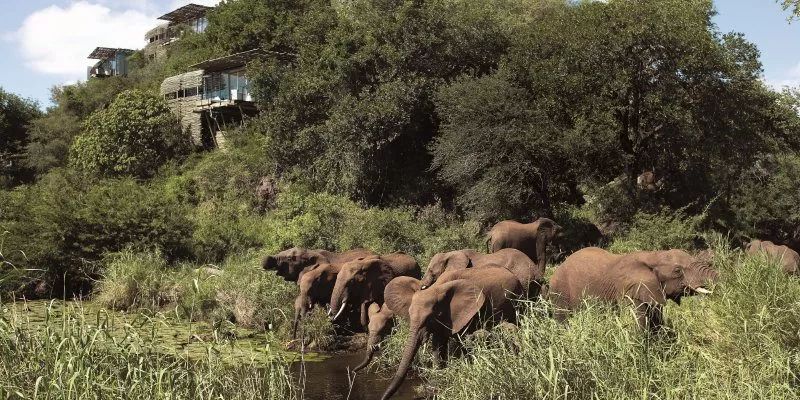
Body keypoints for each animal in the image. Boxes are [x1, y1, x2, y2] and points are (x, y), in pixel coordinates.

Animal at [382, 266, 524, 400]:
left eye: (430, 317)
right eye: (410, 315)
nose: (383, 397)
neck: (437, 288)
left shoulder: (465, 313)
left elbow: (464, 341)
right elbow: (438, 345)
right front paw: (436, 382)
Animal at [552, 247, 720, 332]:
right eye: (678, 270)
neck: (652, 255)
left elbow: (657, 321)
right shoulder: (628, 290)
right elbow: (637, 324)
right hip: (559, 292)